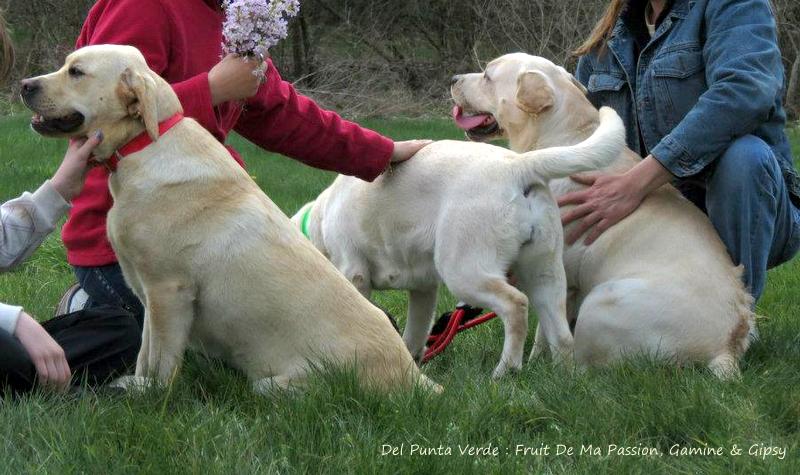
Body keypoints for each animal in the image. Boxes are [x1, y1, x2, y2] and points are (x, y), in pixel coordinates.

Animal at [23, 44, 438, 394]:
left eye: (76, 71)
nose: (25, 85)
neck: (143, 145)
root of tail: (416, 380)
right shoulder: (148, 293)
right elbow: (144, 352)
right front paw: (137, 385)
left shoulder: (168, 291)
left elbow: (160, 359)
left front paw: (150, 394)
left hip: (277, 384)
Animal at [292, 106, 624, 378]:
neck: (321, 217)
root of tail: (517, 165)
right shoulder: (424, 291)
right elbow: (414, 335)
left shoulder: (355, 275)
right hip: (545, 275)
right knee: (561, 335)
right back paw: (563, 377)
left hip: (464, 271)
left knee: (515, 305)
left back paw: (505, 371)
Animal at [450, 53, 756, 380]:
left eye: (487, 76)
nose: (453, 79)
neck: (564, 135)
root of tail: (727, 346)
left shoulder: (555, 273)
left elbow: (546, 330)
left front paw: (536, 365)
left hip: (601, 301)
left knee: (584, 364)